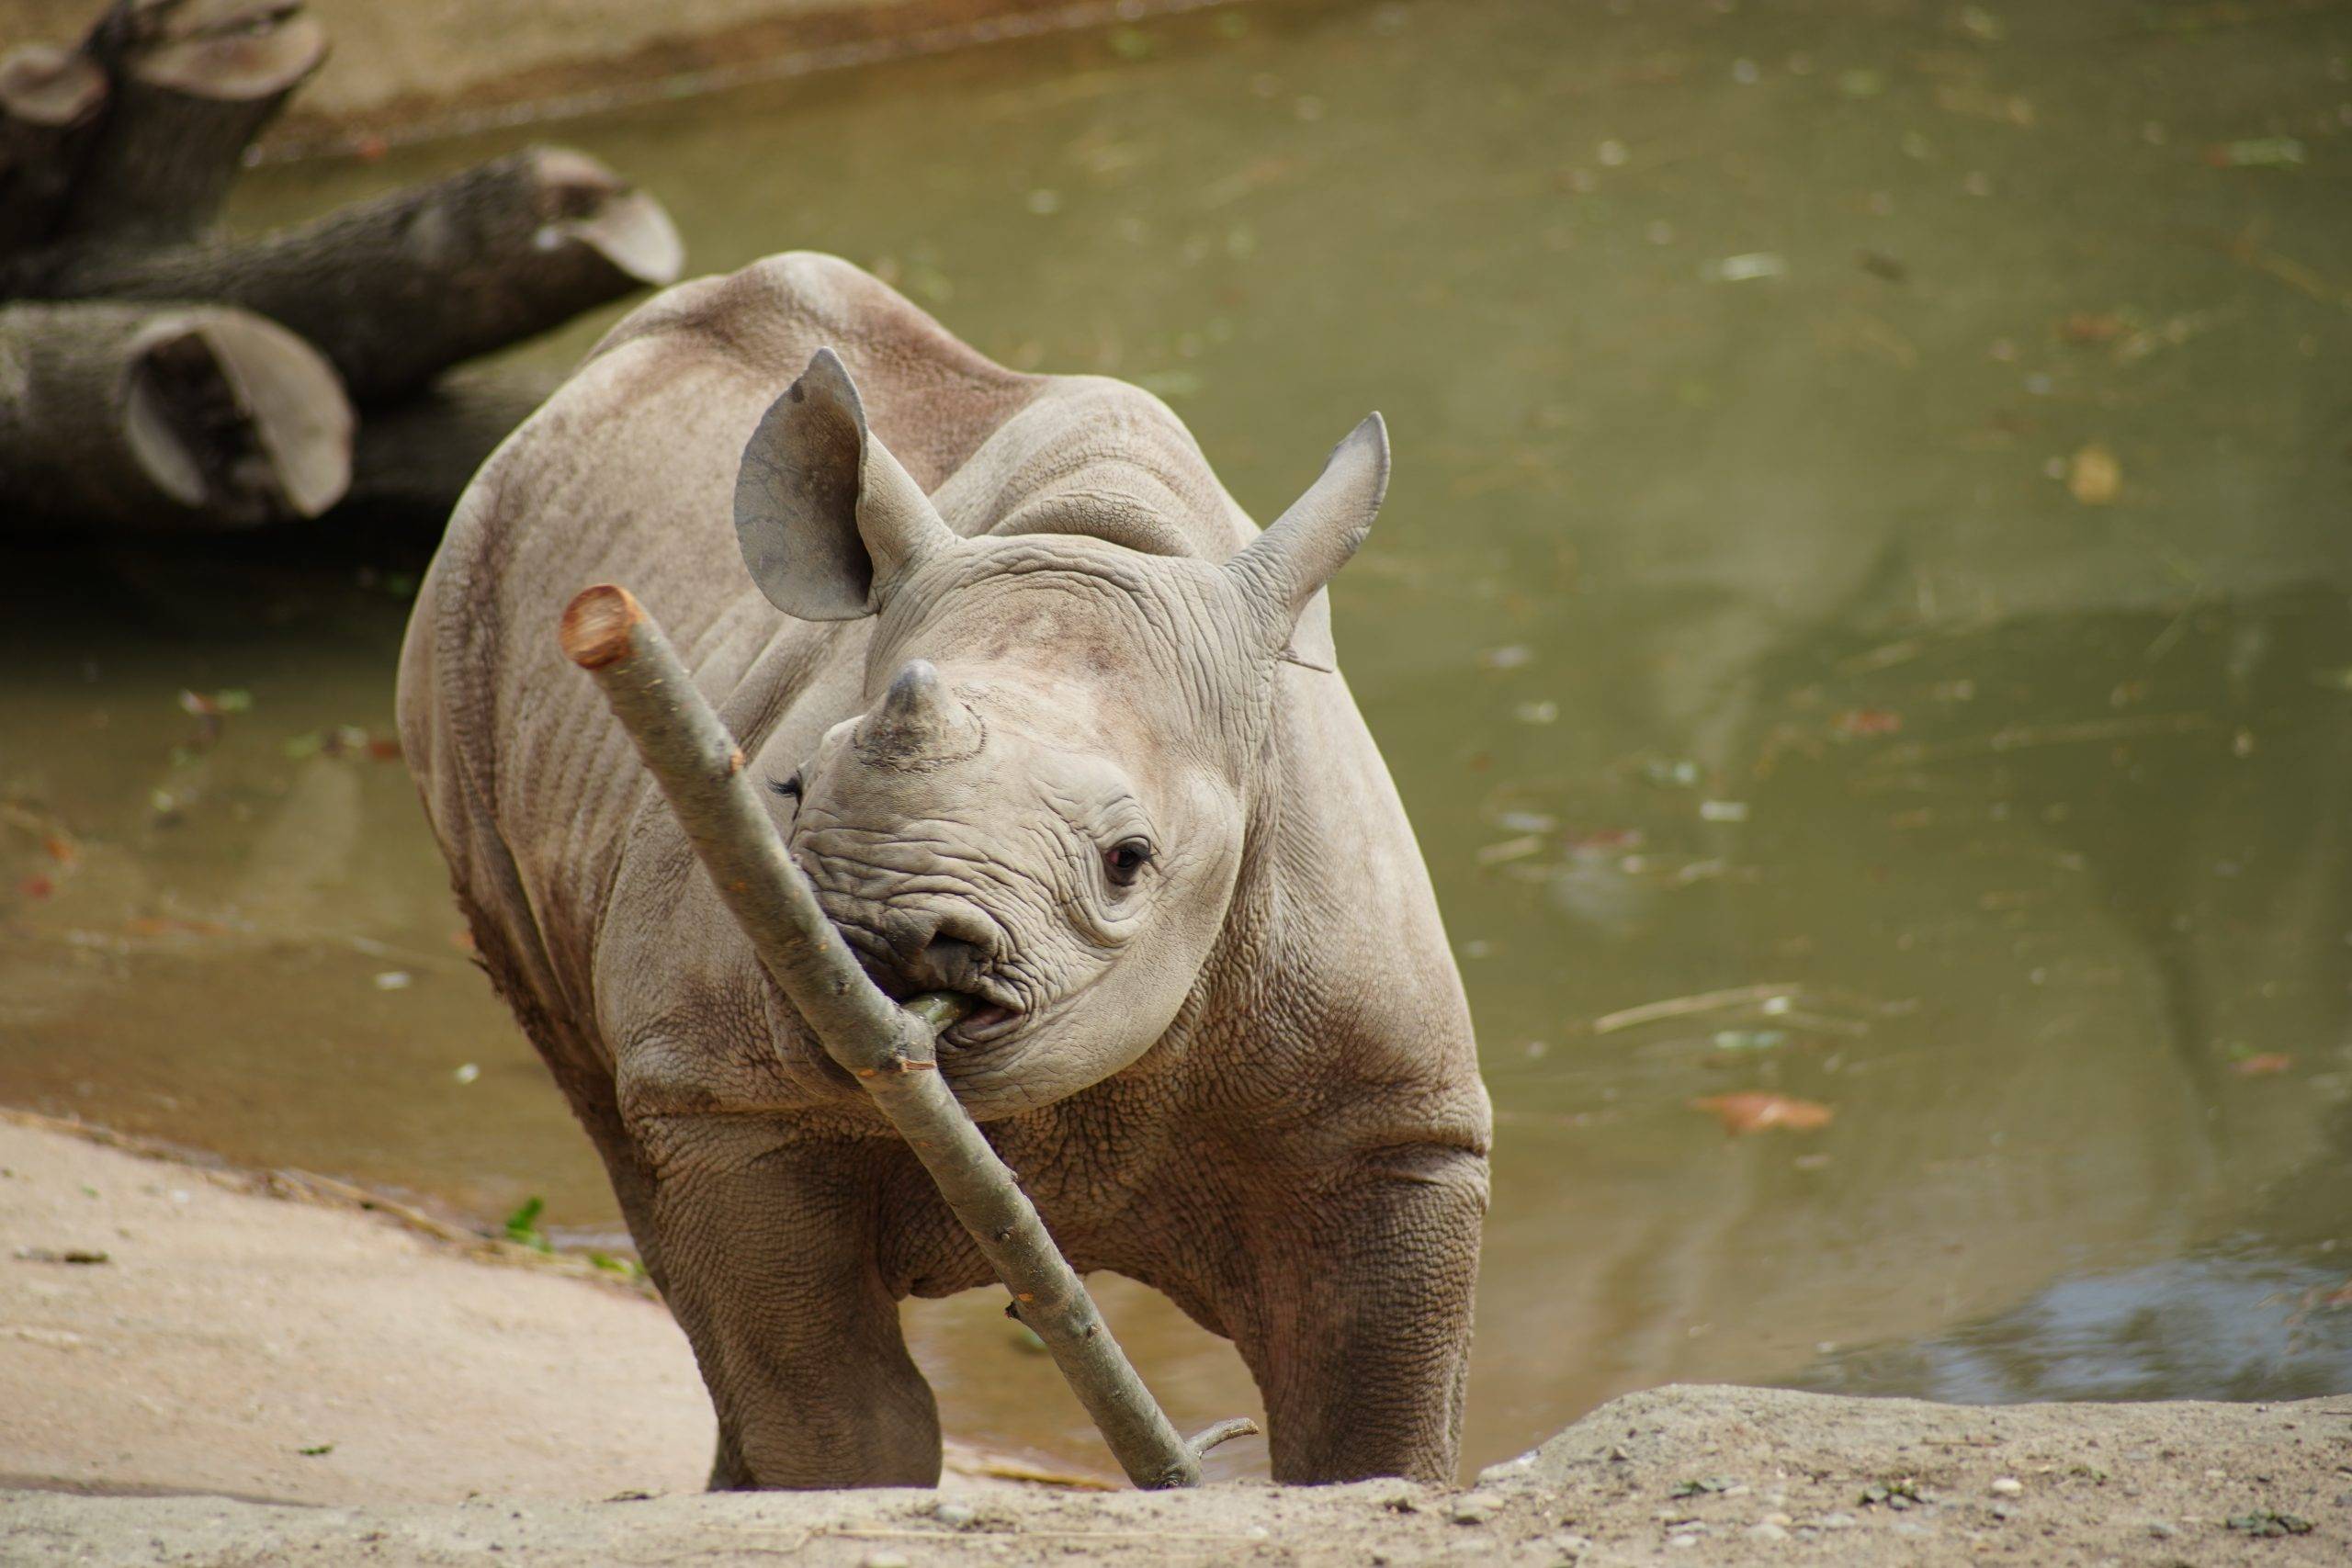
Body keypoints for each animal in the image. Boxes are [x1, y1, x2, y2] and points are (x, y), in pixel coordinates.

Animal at [388, 251, 1486, 1495]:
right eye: (791, 792)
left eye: (1128, 861)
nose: (878, 946)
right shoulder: (726, 1102)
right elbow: (844, 1423)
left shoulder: (1391, 1130)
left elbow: (1375, 1438)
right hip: (466, 608)